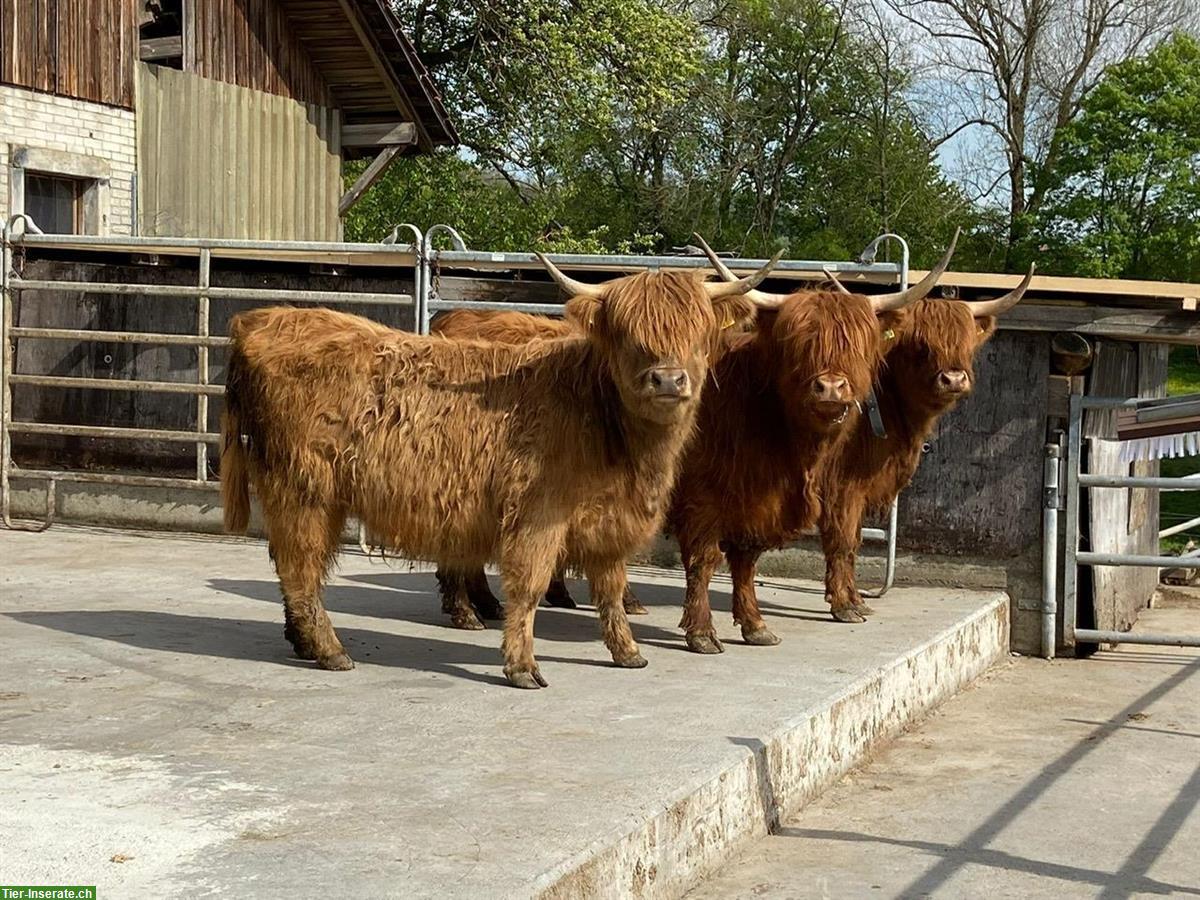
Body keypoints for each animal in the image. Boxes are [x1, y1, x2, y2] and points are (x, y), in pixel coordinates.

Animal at [218, 254, 777, 691]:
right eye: (628, 336)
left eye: (697, 334)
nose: (666, 379)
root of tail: (259, 320)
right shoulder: (537, 517)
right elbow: (528, 588)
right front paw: (522, 666)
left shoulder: (609, 522)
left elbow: (611, 589)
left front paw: (628, 652)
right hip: (304, 489)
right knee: (301, 567)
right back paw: (330, 650)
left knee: (291, 564)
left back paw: (301, 642)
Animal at [676, 236, 955, 652]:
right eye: (799, 343)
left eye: (858, 345)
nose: (830, 388)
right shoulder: (702, 495)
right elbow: (703, 559)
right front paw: (701, 632)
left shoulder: (760, 501)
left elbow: (746, 558)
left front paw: (755, 625)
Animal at [820, 264, 1036, 624]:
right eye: (921, 345)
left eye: (966, 343)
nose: (953, 379)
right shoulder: (842, 485)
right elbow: (842, 541)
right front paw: (843, 605)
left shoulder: (859, 488)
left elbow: (853, 542)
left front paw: (855, 600)